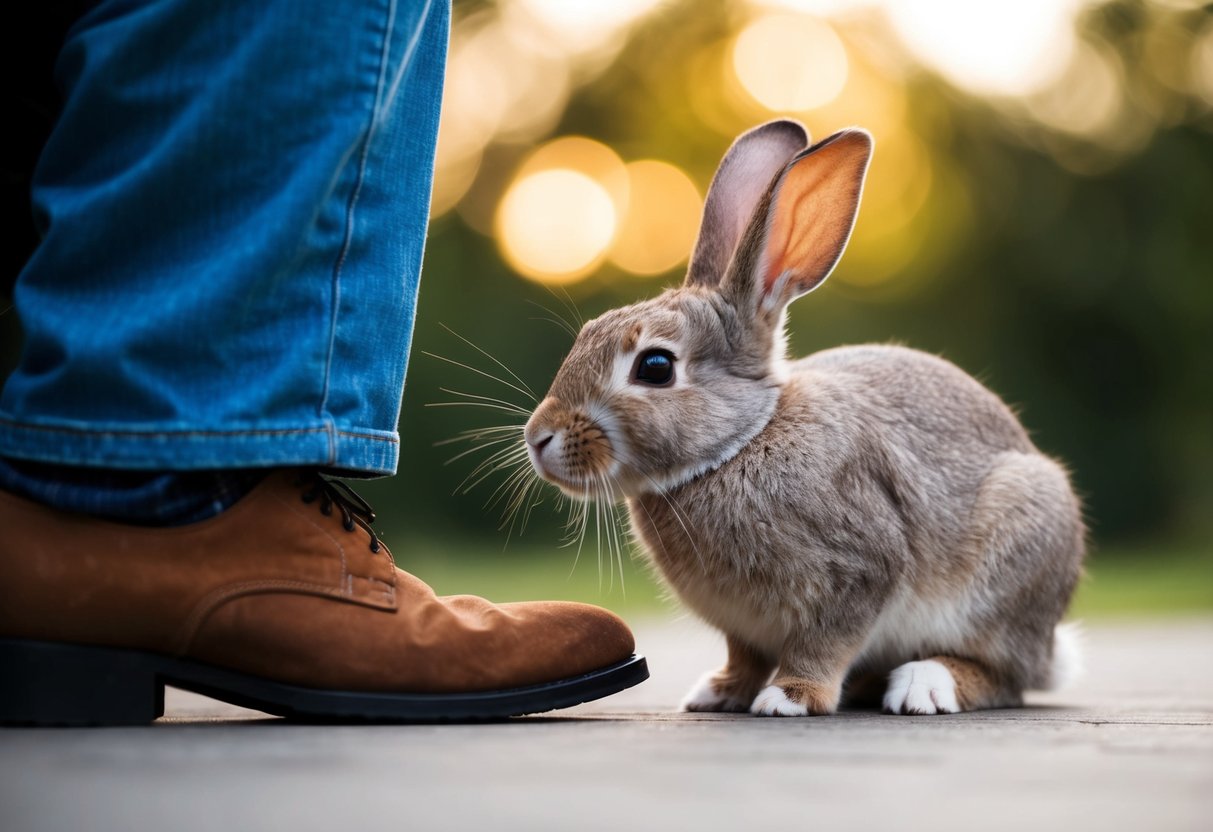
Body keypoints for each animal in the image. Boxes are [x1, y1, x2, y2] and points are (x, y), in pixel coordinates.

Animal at [523, 119, 1085, 716]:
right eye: (587, 334)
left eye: (655, 367)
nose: (538, 438)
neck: (741, 443)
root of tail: (1048, 646)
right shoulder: (741, 626)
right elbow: (744, 657)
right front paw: (719, 692)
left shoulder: (859, 571)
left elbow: (825, 643)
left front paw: (789, 697)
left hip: (1009, 564)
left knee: (1004, 676)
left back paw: (922, 686)